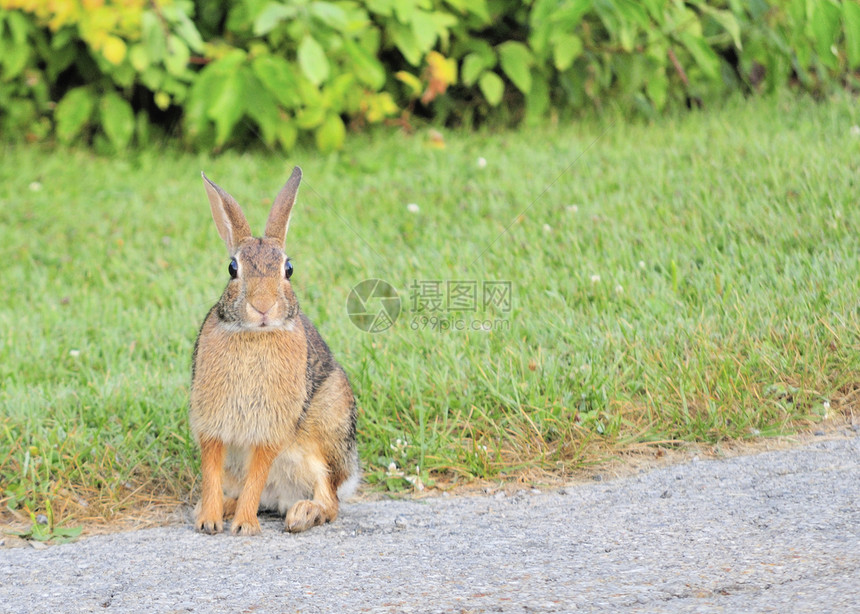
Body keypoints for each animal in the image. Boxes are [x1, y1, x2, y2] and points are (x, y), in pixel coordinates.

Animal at [190, 167, 358, 536]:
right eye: (232, 269)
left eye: (289, 269)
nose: (263, 307)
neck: (255, 335)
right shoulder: (212, 421)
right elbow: (211, 467)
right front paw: (208, 521)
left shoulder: (269, 427)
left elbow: (258, 469)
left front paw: (244, 527)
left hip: (324, 439)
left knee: (330, 499)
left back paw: (302, 514)